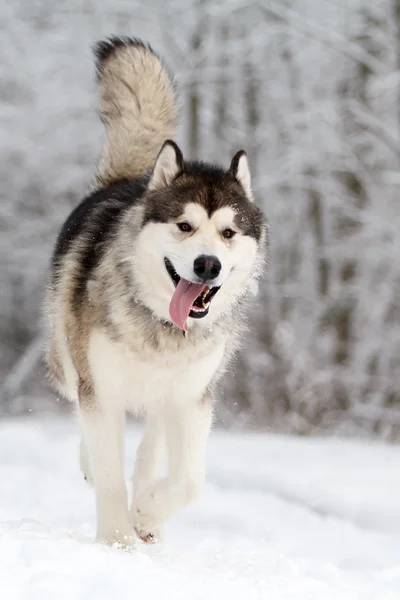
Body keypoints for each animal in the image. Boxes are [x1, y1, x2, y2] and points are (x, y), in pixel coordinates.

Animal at [43, 35, 268, 548]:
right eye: (184, 226)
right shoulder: (100, 390)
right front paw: (117, 543)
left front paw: (146, 513)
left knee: (152, 449)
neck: (160, 325)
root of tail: (130, 178)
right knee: (84, 417)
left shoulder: (192, 398)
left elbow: (190, 480)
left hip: (169, 397)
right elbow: (109, 473)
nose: (208, 265)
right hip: (66, 361)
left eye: (228, 233)